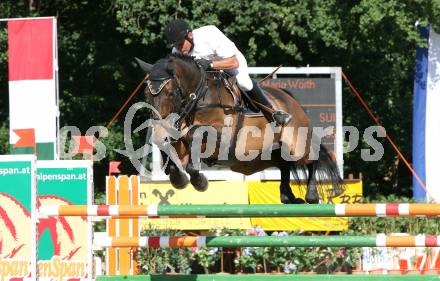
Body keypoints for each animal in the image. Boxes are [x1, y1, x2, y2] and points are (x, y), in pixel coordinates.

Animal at [138, 54, 344, 203]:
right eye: (147, 94)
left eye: (170, 93)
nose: (159, 129)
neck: (199, 97)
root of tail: (291, 99)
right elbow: (173, 146)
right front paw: (177, 177)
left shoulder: (221, 137)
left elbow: (194, 136)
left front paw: (200, 182)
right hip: (267, 155)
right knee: (284, 165)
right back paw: (288, 196)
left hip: (296, 145)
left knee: (312, 158)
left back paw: (311, 195)